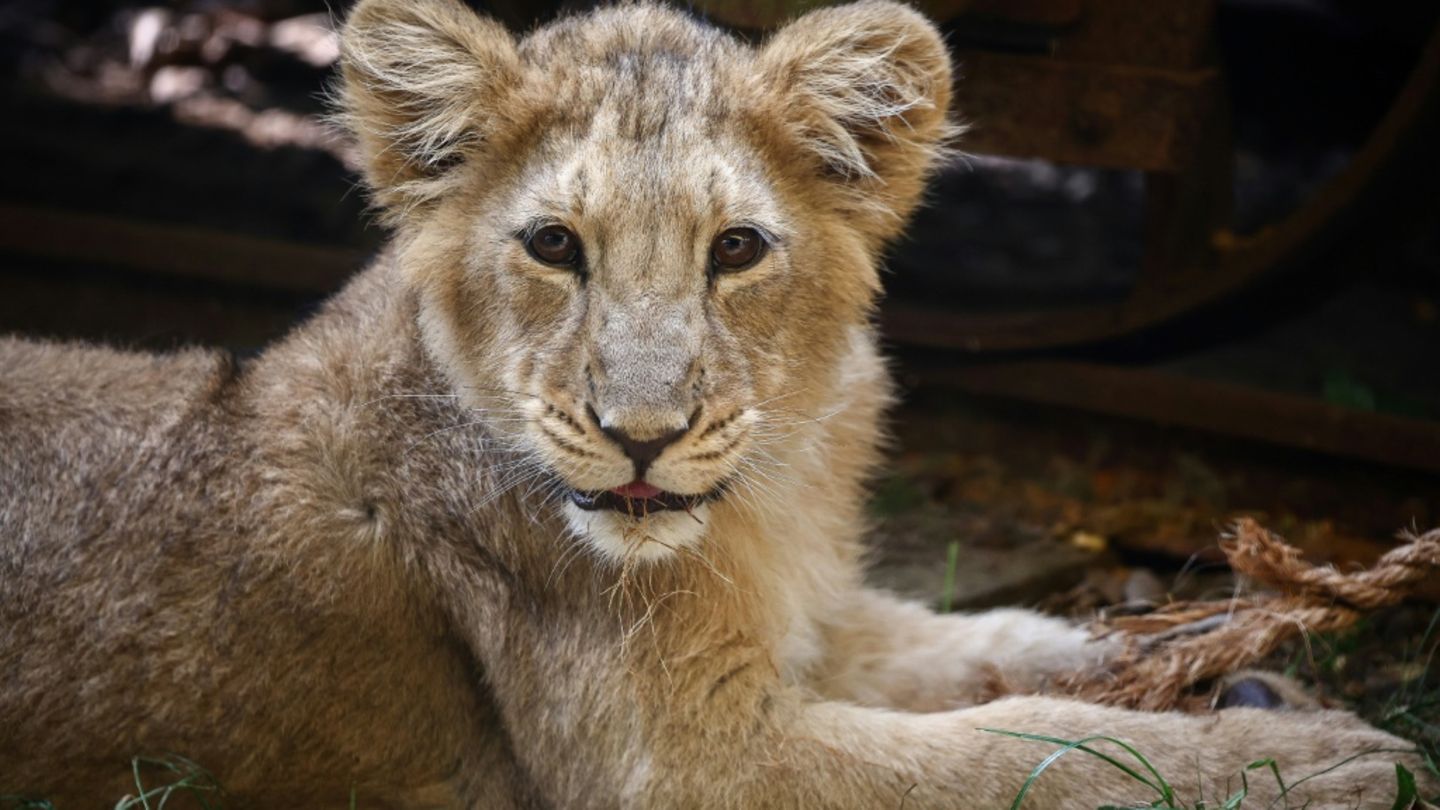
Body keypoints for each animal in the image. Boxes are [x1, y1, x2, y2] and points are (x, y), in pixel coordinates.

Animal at [0, 1, 1430, 807]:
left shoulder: (799, 618)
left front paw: (1205, 655)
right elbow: (1019, 754)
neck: (763, 499)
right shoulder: (691, 766)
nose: (642, 439)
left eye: (735, 250)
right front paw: (1323, 765)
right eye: (554, 246)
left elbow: (980, 649)